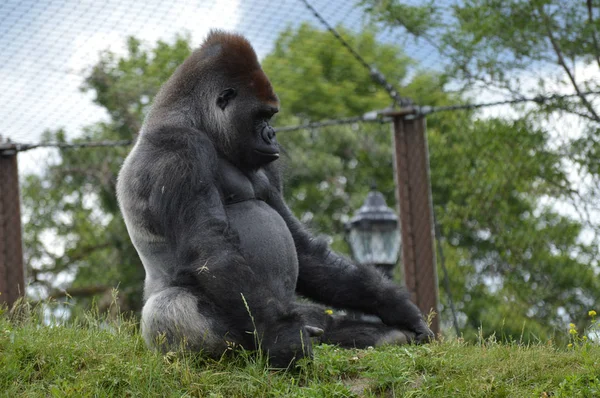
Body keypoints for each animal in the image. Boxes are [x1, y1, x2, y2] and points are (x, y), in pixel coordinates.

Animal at [117, 29, 434, 368]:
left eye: (270, 116)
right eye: (262, 116)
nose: (272, 135)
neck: (196, 119)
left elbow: (302, 247)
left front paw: (394, 305)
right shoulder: (179, 149)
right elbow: (211, 249)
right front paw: (286, 341)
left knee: (315, 317)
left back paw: (376, 335)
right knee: (170, 306)